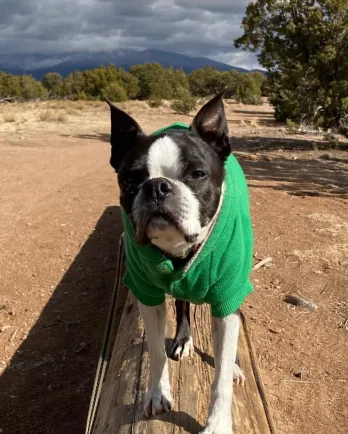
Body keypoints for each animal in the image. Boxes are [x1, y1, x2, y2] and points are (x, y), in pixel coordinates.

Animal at [105, 95, 253, 434]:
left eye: (197, 174)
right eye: (130, 179)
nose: (157, 186)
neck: (179, 250)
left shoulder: (228, 297)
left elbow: (221, 376)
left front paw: (217, 423)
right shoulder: (148, 297)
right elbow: (156, 352)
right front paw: (157, 393)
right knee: (183, 304)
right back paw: (184, 340)